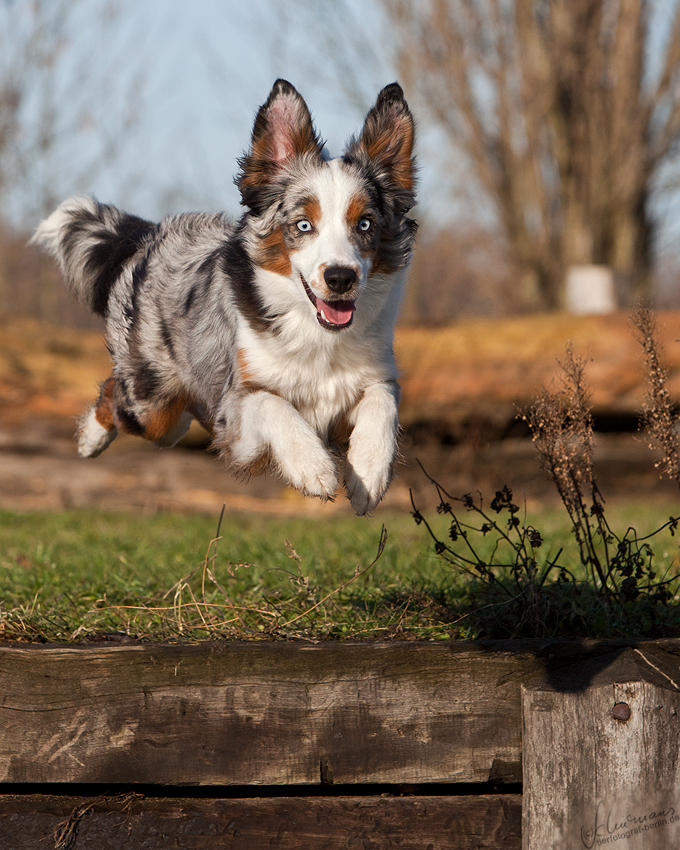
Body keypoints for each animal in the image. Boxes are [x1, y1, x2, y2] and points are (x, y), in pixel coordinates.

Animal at [31, 79, 418, 512]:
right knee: (120, 396)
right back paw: (89, 439)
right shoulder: (237, 410)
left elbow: (383, 402)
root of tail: (149, 235)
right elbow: (273, 403)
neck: (317, 337)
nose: (340, 278)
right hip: (150, 403)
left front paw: (368, 472)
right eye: (303, 225)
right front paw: (312, 466)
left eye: (365, 224)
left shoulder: (372, 375)